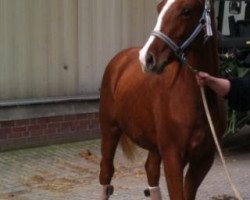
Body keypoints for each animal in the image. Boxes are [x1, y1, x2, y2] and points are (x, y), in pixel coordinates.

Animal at [99, 0, 225, 200]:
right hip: (110, 130)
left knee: (151, 171)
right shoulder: (172, 157)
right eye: (159, 8)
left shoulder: (204, 159)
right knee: (106, 173)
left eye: (186, 11)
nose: (147, 58)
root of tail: (120, 59)